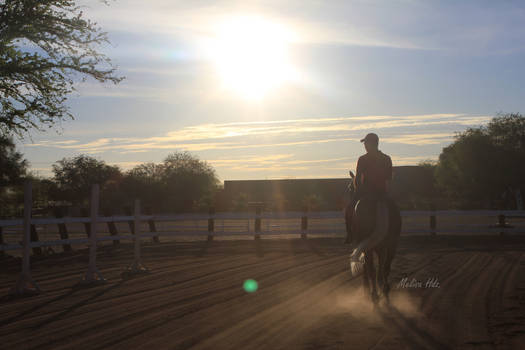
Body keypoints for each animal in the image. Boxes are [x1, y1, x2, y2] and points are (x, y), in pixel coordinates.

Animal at [344, 170, 402, 304]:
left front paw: (366, 288)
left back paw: (374, 293)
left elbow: (367, 266)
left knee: (371, 269)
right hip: (392, 244)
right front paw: (380, 284)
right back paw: (384, 289)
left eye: (350, 188)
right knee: (385, 267)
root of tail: (378, 199)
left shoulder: (362, 245)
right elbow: (380, 266)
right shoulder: (381, 248)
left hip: (369, 246)